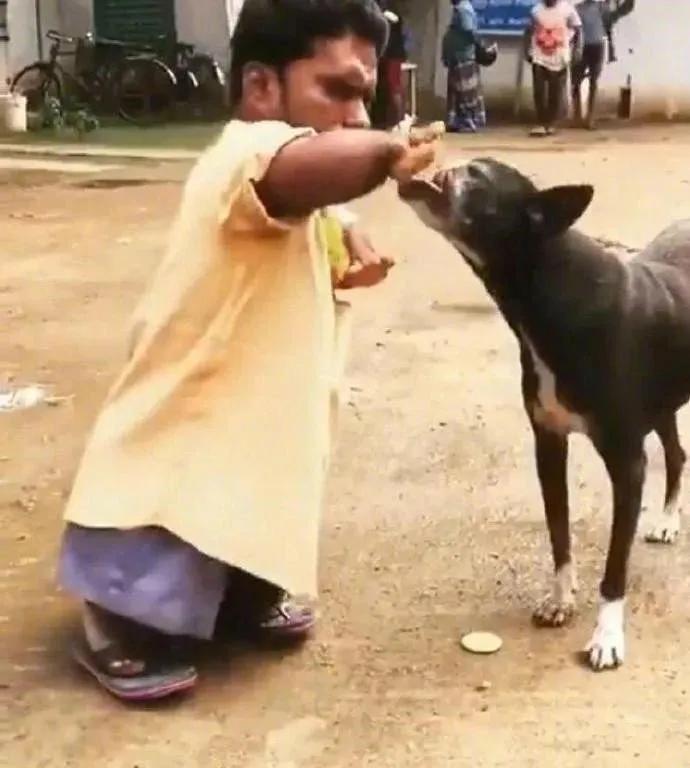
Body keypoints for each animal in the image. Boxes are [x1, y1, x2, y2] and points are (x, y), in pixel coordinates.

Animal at [400, 159, 688, 668]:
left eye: (477, 176)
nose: (443, 165)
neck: (552, 290)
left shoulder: (626, 461)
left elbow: (614, 566)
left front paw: (607, 636)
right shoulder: (549, 444)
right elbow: (559, 533)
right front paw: (560, 600)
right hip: (662, 402)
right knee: (677, 453)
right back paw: (669, 520)